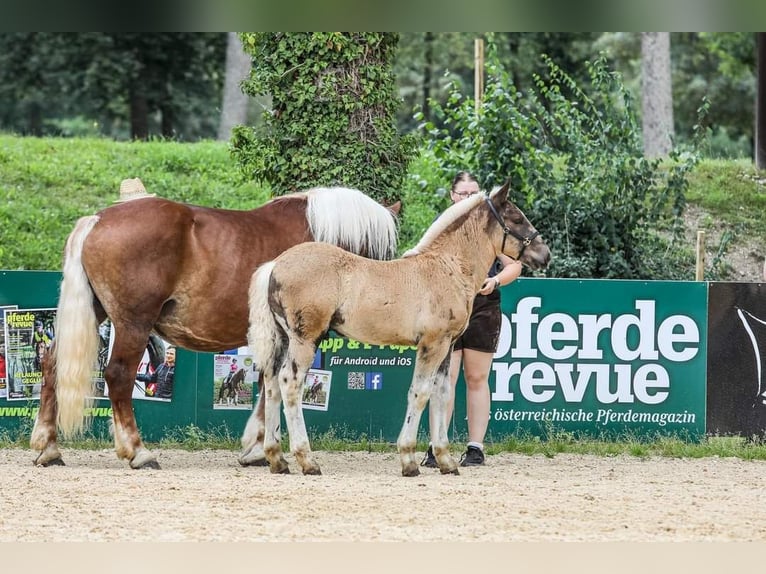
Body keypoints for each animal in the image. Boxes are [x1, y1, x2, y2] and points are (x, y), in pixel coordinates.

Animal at [30, 187, 400, 470]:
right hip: (133, 323)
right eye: (384, 251)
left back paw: (48, 446)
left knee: (52, 365)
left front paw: (256, 447)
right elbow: (273, 386)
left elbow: (266, 386)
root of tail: (99, 219)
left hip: (96, 313)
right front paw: (262, 447)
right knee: (119, 376)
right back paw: (137, 451)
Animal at [243, 182, 548, 480]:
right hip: (304, 340)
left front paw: (445, 460)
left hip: (283, 339)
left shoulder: (448, 346)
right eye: (517, 218)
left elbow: (442, 393)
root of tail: (275, 264)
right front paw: (409, 460)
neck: (446, 267)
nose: (545, 255)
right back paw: (307, 460)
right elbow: (420, 393)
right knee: (290, 383)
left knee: (271, 384)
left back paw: (276, 458)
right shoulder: (432, 345)